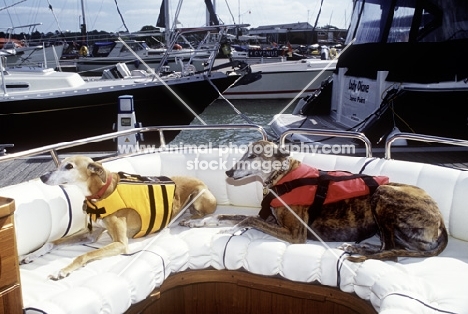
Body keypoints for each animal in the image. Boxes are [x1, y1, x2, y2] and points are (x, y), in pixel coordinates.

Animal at [26, 155, 216, 280]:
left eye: (69, 166)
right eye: (61, 164)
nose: (42, 177)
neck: (101, 193)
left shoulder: (120, 243)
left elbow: (85, 254)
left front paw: (63, 270)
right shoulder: (91, 234)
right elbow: (52, 242)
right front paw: (33, 254)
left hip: (199, 194)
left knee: (202, 212)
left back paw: (189, 220)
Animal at [181, 140, 448, 262]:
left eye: (254, 156)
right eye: (244, 153)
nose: (228, 172)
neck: (283, 177)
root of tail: (440, 221)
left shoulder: (295, 233)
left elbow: (245, 219)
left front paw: (225, 231)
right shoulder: (269, 218)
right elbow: (228, 215)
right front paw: (197, 223)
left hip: (383, 194)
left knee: (390, 251)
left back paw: (359, 248)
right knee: (387, 246)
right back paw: (357, 247)